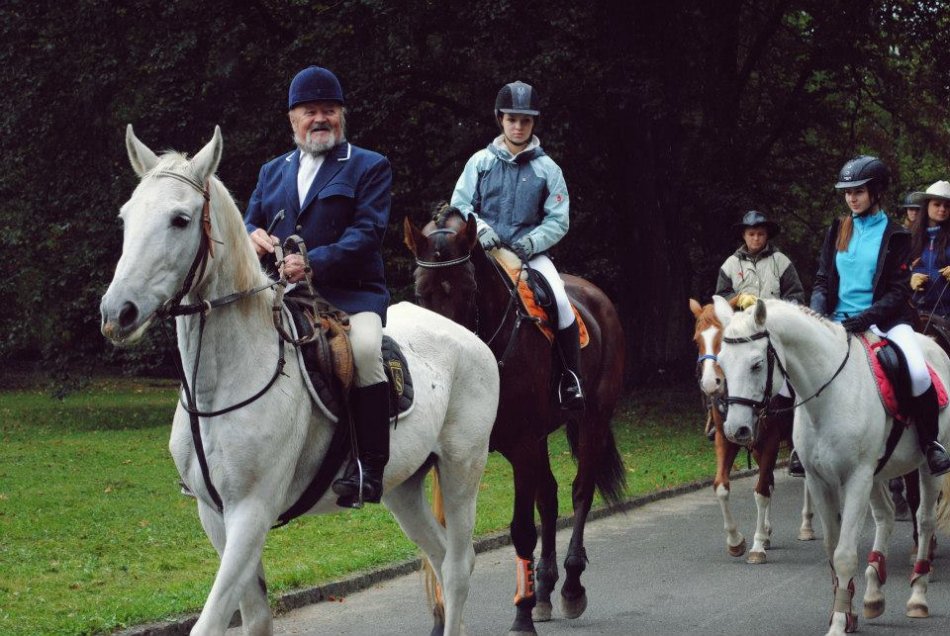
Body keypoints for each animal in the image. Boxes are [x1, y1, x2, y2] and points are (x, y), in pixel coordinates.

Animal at [100, 126, 500, 636]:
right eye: (126, 218)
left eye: (180, 219)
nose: (118, 313)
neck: (223, 382)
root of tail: (469, 339)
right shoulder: (215, 514)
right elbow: (254, 618)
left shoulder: (252, 510)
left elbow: (208, 623)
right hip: (403, 488)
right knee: (442, 555)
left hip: (462, 469)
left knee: (458, 564)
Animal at [404, 207, 626, 636]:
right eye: (421, 294)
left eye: (468, 289)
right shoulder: (455, 454)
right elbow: (441, 542)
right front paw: (441, 620)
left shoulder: (522, 444)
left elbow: (522, 529)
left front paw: (521, 616)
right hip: (541, 438)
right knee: (550, 499)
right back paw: (544, 590)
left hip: (591, 419)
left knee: (580, 491)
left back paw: (570, 586)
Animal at [689, 299, 815, 564]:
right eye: (697, 340)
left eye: (722, 339)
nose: (710, 383)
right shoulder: (726, 439)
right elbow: (722, 487)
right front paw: (737, 541)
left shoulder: (771, 441)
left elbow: (761, 491)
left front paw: (757, 546)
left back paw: (806, 525)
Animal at [713, 297, 950, 635]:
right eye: (721, 361)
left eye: (757, 364)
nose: (736, 430)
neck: (829, 396)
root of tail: (933, 344)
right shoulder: (819, 480)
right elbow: (831, 547)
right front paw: (847, 613)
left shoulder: (856, 478)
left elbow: (845, 554)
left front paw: (838, 622)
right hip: (877, 473)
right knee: (886, 515)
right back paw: (874, 593)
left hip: (925, 469)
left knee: (925, 519)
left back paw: (918, 595)